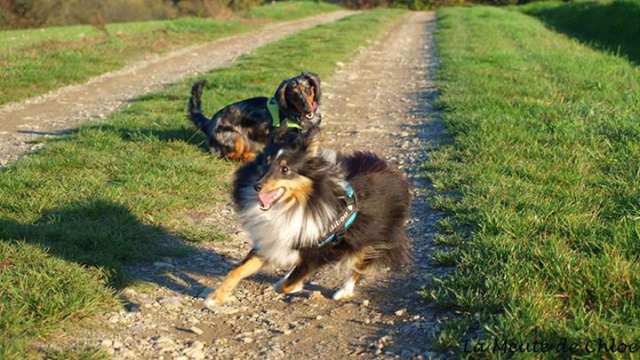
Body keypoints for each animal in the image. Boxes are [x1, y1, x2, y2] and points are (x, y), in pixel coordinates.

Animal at [188, 71, 322, 162]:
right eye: (293, 94)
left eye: (308, 89)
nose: (307, 109)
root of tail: (210, 123)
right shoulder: (277, 137)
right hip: (236, 138)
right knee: (230, 155)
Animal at [204, 126, 410, 306]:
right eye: (265, 163)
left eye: (285, 169)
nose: (257, 186)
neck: (293, 206)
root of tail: (389, 169)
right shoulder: (273, 240)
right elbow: (238, 270)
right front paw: (214, 298)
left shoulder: (321, 250)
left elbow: (288, 283)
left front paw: (290, 285)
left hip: (371, 236)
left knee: (360, 264)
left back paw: (344, 291)